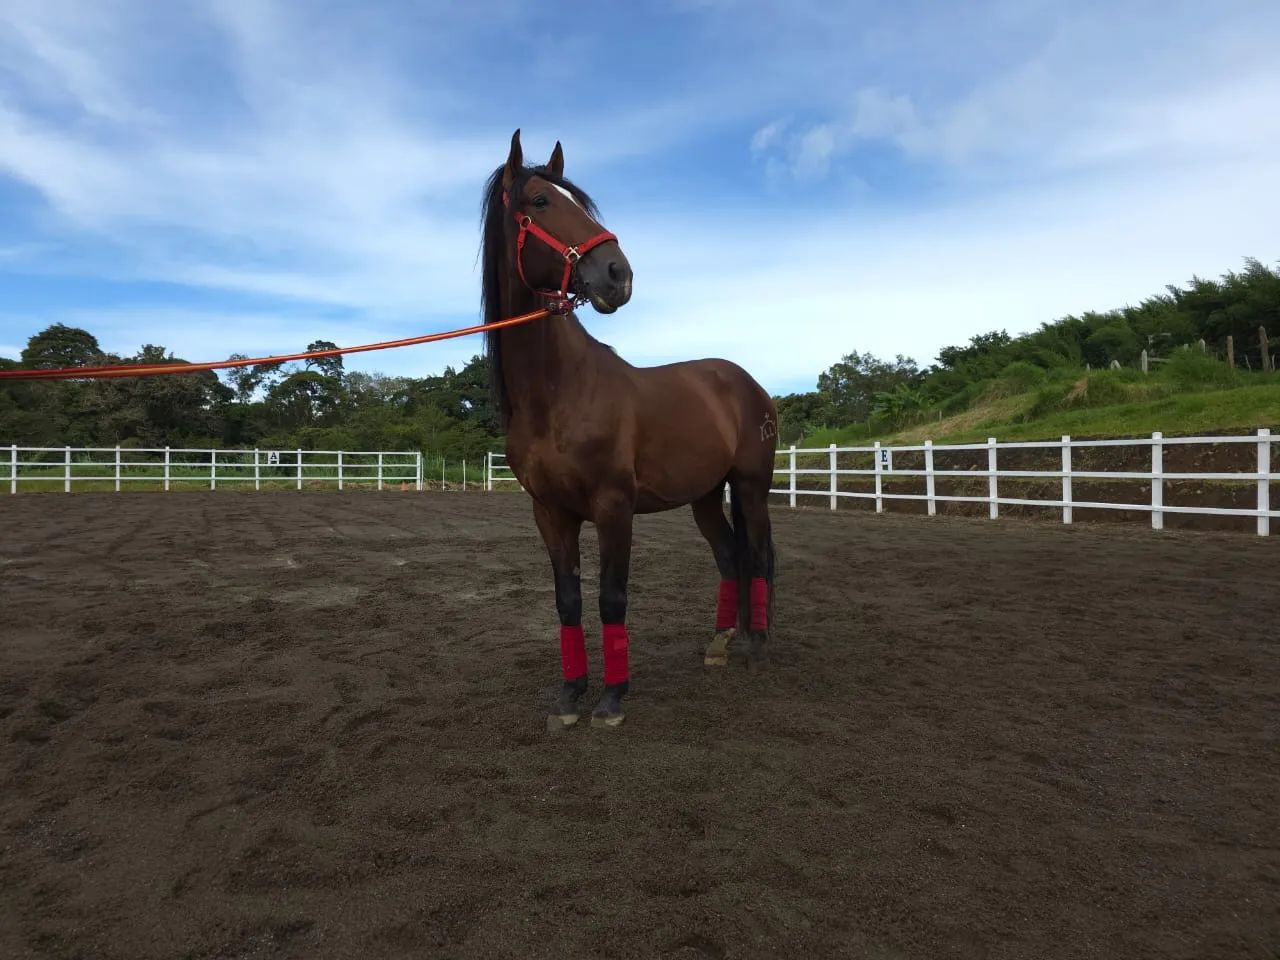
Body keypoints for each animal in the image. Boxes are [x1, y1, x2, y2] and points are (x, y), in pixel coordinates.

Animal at [480, 130, 777, 729]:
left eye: (582, 203)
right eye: (540, 201)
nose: (619, 275)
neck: (560, 392)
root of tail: (747, 384)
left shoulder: (614, 506)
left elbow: (611, 597)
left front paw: (612, 699)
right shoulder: (550, 512)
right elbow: (568, 600)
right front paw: (570, 694)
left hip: (751, 487)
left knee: (756, 556)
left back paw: (755, 646)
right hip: (706, 497)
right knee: (730, 556)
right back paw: (721, 642)